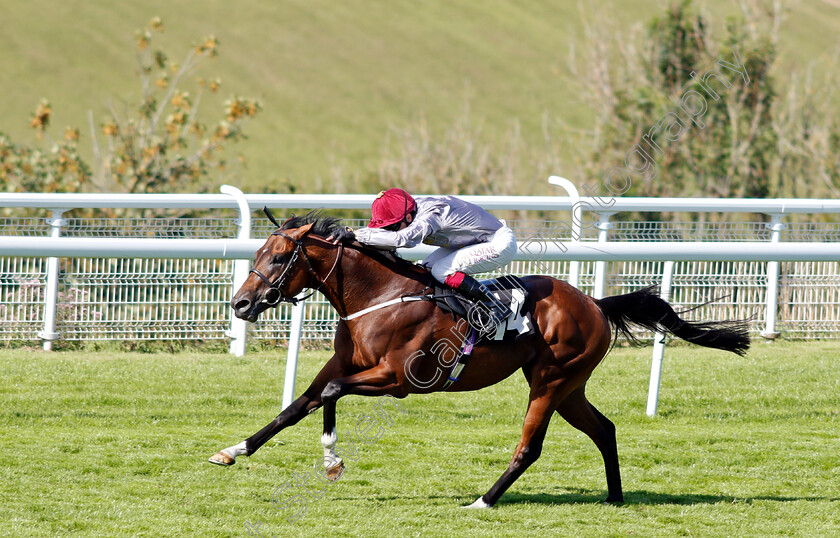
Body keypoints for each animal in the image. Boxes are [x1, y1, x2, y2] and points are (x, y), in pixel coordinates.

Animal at [210, 211, 748, 504]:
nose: (240, 304)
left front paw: (332, 461)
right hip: (569, 386)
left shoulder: (397, 379)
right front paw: (234, 451)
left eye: (281, 257)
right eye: (258, 252)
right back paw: (615, 498)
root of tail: (595, 303)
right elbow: (300, 404)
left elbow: (329, 394)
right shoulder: (345, 364)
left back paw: (484, 502)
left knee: (530, 446)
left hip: (551, 381)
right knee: (605, 429)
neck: (379, 295)